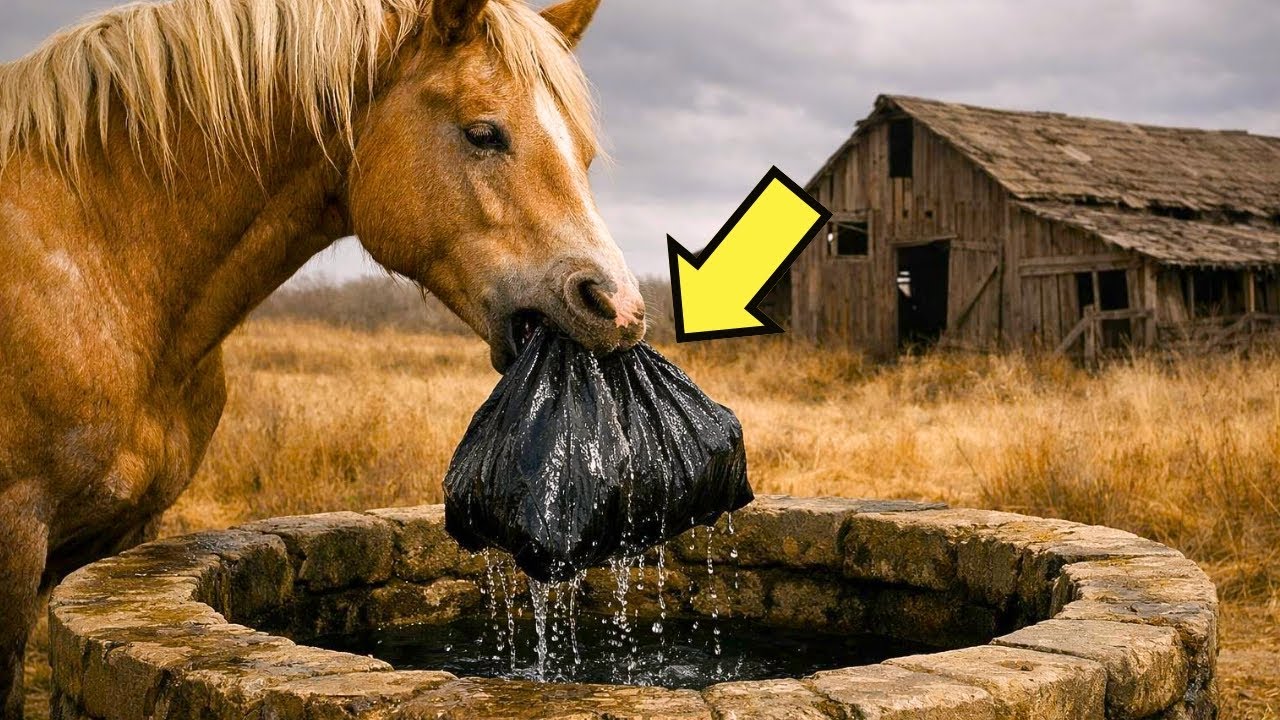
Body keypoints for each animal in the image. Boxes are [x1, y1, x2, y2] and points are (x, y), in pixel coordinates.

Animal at [0, 0, 645, 714]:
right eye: (483, 133)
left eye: (584, 153)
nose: (618, 307)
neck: (96, 258)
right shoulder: (15, 537)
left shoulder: (132, 529)